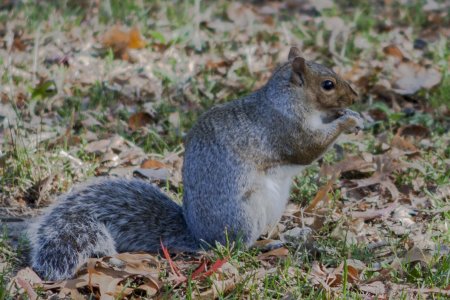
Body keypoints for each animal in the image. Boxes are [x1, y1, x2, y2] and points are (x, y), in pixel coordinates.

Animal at [28, 46, 364, 278]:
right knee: (234, 247)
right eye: (328, 84)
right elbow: (308, 149)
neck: (286, 100)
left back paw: (284, 235)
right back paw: (262, 246)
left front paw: (354, 116)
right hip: (243, 215)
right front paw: (347, 121)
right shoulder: (284, 129)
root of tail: (200, 236)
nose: (356, 97)